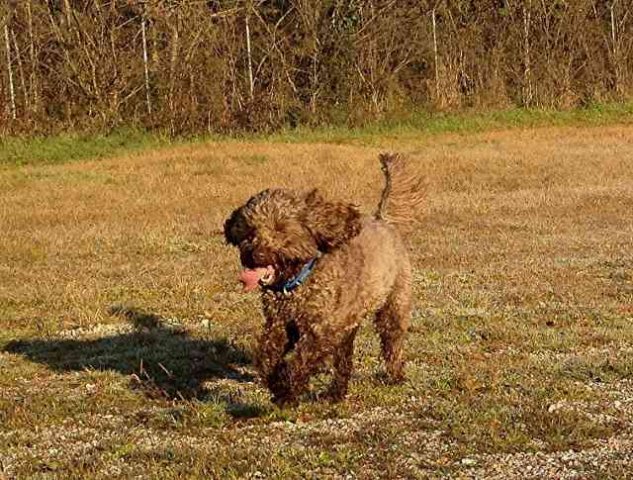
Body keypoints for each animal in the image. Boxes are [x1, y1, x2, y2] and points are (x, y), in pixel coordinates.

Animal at [225, 153, 422, 404]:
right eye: (249, 230)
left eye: (280, 229)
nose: (255, 254)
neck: (298, 282)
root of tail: (383, 221)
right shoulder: (279, 324)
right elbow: (267, 356)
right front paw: (276, 382)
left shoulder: (324, 328)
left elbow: (302, 358)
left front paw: (286, 389)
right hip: (350, 323)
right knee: (344, 361)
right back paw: (336, 392)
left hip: (393, 303)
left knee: (392, 341)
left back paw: (395, 376)